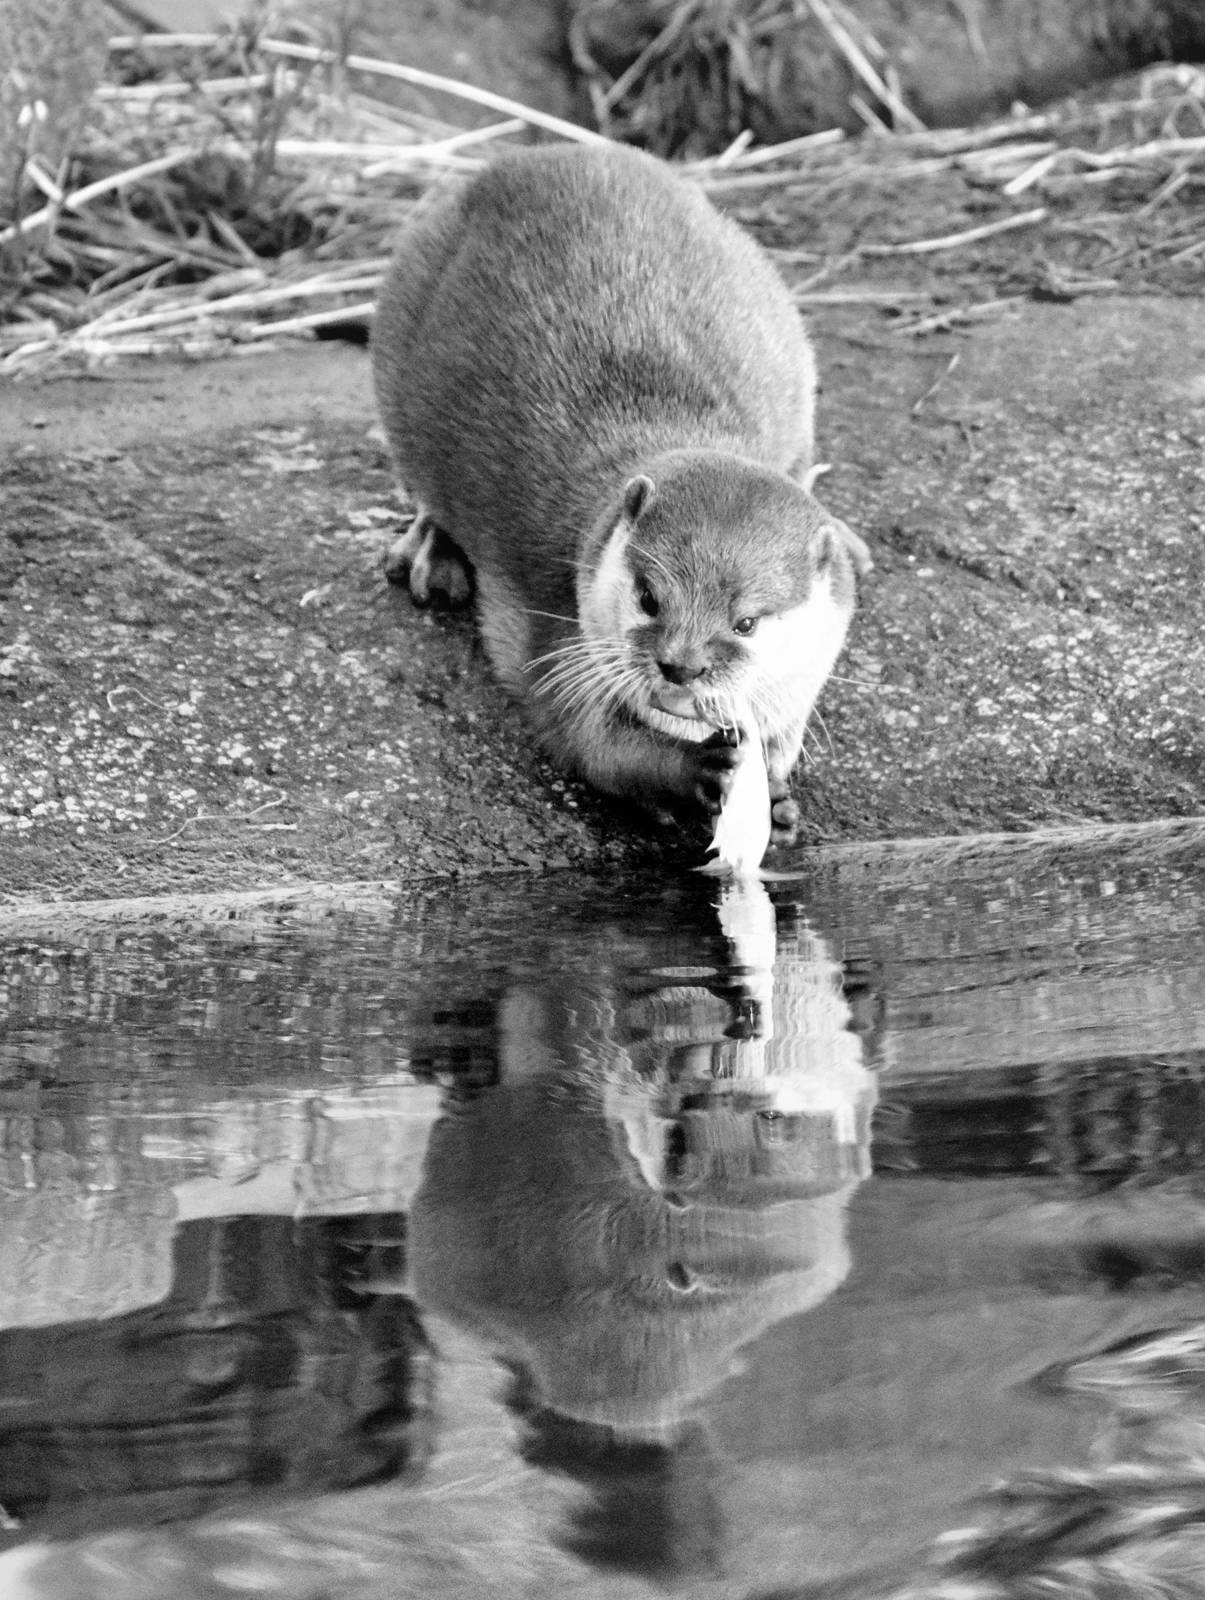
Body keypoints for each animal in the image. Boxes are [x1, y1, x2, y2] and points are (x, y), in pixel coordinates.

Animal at [372, 141, 865, 840]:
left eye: (746, 622)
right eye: (649, 596)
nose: (681, 664)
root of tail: (532, 156)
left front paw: (773, 795)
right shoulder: (559, 638)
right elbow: (592, 744)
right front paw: (694, 770)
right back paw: (433, 556)